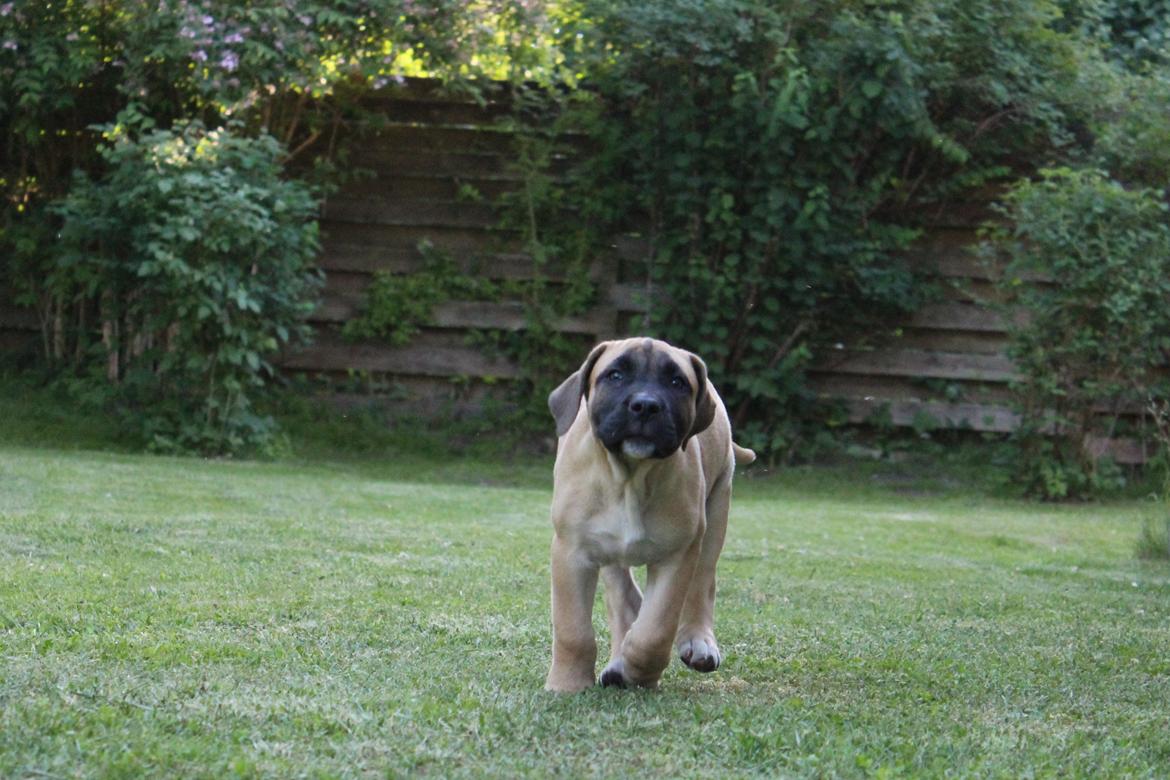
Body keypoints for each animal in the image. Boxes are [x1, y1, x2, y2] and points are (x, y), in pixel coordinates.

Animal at [542, 339, 753, 692]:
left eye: (677, 382)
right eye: (615, 375)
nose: (645, 405)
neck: (630, 477)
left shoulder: (677, 556)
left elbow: (655, 631)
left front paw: (639, 672)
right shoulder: (572, 551)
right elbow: (573, 629)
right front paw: (568, 684)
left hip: (716, 511)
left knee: (703, 584)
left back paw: (696, 642)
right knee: (623, 598)